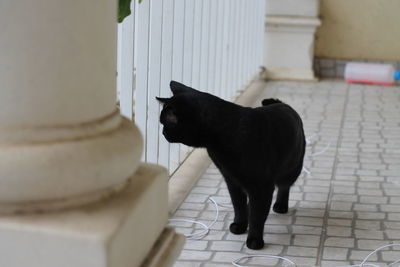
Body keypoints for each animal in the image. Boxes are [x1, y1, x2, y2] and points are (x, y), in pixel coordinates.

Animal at [157, 80, 306, 250]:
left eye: (166, 123)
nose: (163, 133)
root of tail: (282, 103)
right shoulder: (231, 180)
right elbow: (239, 205)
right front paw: (240, 225)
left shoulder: (261, 187)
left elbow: (257, 215)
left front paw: (254, 240)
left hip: (291, 169)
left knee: (284, 187)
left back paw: (280, 205)